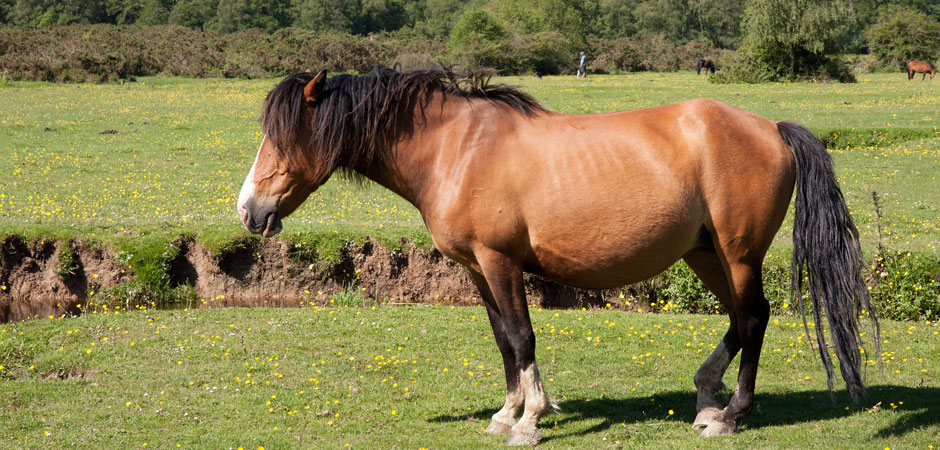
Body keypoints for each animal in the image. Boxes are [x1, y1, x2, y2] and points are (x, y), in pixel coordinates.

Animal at [237, 68, 880, 444]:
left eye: (285, 137)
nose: (248, 211)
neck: (454, 149)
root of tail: (769, 126)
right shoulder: (477, 269)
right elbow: (503, 341)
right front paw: (506, 412)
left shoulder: (500, 261)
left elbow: (523, 338)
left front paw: (530, 419)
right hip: (705, 254)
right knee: (741, 319)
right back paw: (705, 397)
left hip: (739, 253)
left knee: (751, 319)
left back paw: (729, 415)